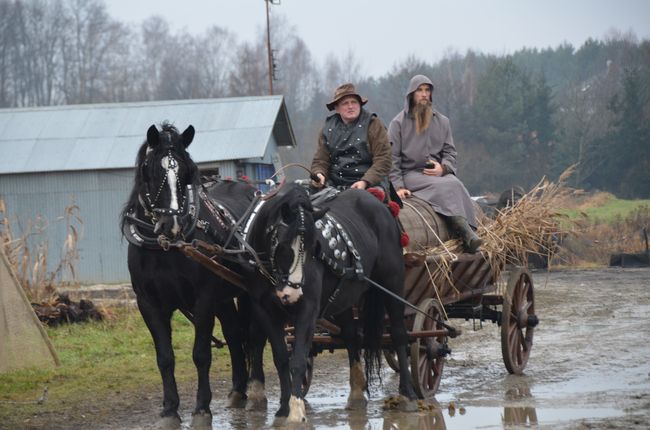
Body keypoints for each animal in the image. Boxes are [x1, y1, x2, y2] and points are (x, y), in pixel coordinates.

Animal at [120, 122, 256, 428]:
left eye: (185, 171)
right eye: (151, 170)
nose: (171, 224)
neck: (165, 248)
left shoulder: (203, 299)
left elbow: (201, 354)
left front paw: (202, 409)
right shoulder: (148, 303)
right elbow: (165, 357)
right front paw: (170, 410)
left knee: (256, 333)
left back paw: (257, 387)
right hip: (224, 296)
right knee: (233, 333)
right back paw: (238, 390)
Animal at [242, 182, 416, 424]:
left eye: (315, 246)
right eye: (284, 245)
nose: (292, 293)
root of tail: (379, 203)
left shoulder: (308, 308)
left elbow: (297, 359)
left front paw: (296, 411)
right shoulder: (264, 310)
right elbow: (281, 359)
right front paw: (284, 407)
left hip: (392, 283)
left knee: (399, 333)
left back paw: (408, 392)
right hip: (344, 296)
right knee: (352, 337)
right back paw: (356, 393)